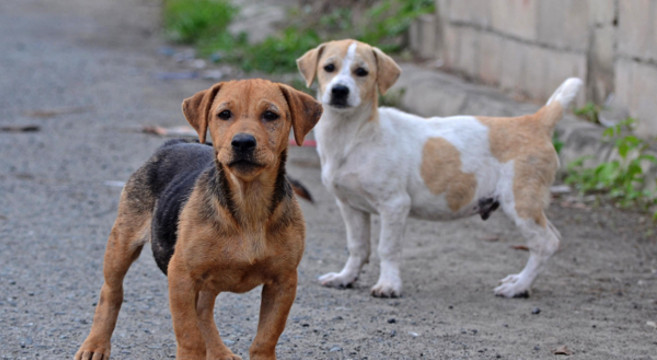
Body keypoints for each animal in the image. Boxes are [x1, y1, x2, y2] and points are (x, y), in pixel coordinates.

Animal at [75, 79, 322, 360]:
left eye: (271, 115)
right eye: (224, 114)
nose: (243, 142)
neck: (248, 205)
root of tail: (174, 142)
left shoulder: (283, 281)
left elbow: (265, 339)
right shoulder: (181, 275)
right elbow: (189, 336)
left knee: (203, 310)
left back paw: (219, 351)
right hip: (122, 241)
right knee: (111, 292)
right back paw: (95, 345)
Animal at [296, 39, 580, 298]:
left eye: (361, 72)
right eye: (329, 67)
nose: (339, 90)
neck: (352, 136)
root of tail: (534, 122)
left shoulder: (394, 205)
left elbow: (387, 249)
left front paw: (388, 285)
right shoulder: (350, 205)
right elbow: (357, 247)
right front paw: (345, 277)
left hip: (520, 202)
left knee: (546, 243)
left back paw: (518, 286)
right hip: (529, 205)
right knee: (550, 238)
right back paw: (520, 281)